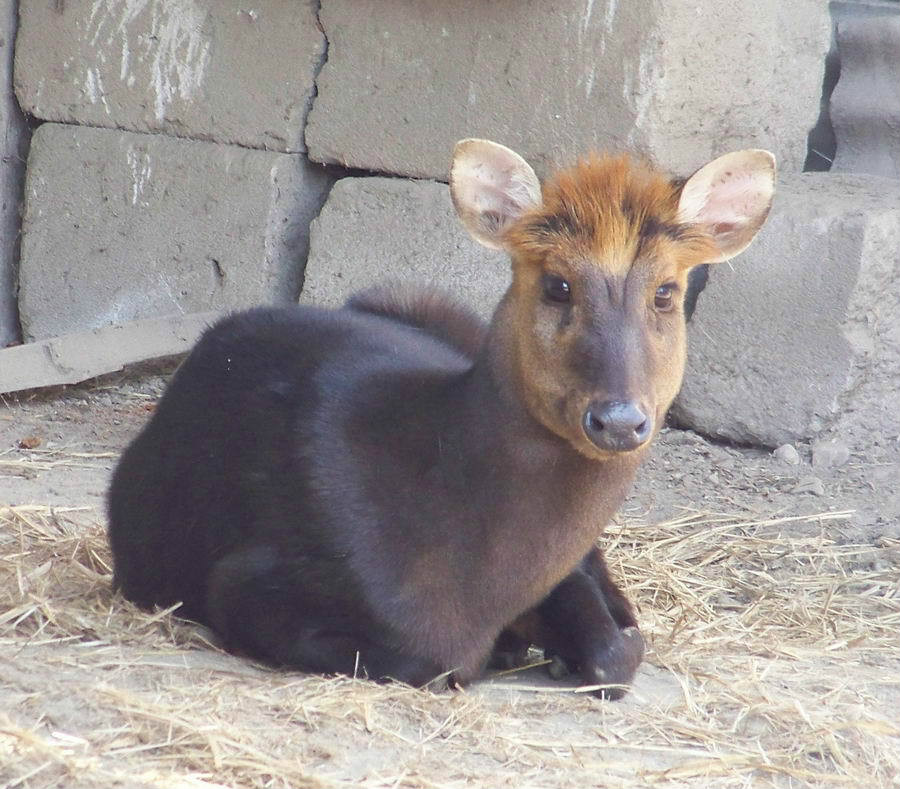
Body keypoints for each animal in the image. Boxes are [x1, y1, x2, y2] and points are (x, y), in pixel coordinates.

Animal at [109, 139, 772, 700]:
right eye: (557, 284)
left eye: (665, 291)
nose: (619, 420)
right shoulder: (244, 581)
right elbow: (431, 661)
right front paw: (518, 647)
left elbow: (615, 650)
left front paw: (563, 644)